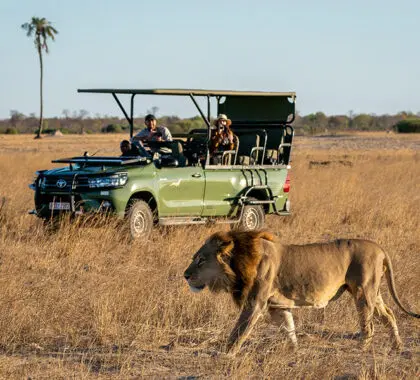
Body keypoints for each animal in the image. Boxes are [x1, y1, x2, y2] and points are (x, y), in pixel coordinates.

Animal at [185, 230, 420, 354]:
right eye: (194, 258)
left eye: (201, 260)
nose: (185, 275)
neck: (239, 264)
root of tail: (379, 248)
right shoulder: (278, 306)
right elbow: (289, 328)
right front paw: (294, 350)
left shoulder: (255, 303)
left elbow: (239, 330)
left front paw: (226, 354)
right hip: (373, 292)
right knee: (389, 315)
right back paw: (397, 345)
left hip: (363, 292)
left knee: (368, 325)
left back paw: (361, 348)